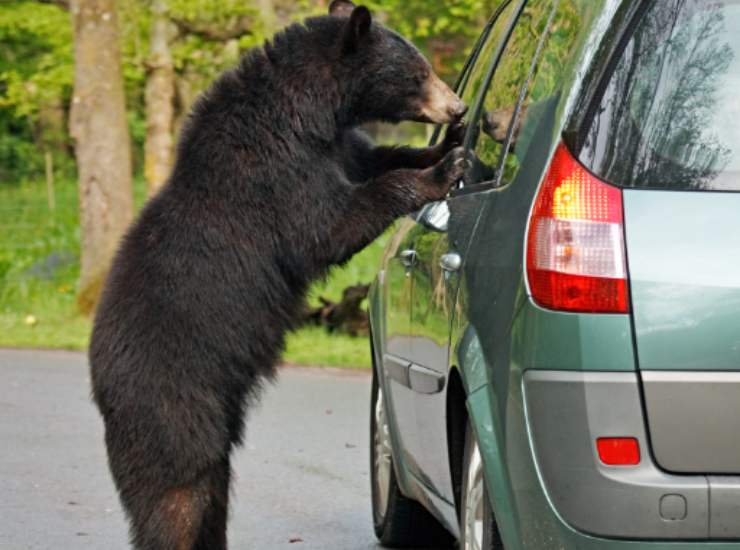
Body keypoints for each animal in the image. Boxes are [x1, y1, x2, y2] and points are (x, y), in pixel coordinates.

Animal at [89, 2, 466, 548]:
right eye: (419, 73)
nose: (457, 108)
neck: (307, 113)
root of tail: (99, 383)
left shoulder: (339, 146)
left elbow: (375, 157)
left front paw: (442, 148)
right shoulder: (275, 171)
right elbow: (328, 226)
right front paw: (439, 172)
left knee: (213, 487)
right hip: (170, 401)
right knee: (177, 493)